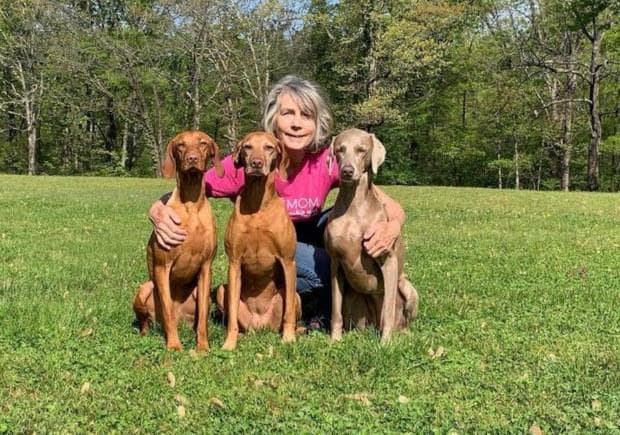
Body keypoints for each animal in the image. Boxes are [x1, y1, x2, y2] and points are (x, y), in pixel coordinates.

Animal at [132, 129, 224, 350]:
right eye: (181, 145)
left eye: (203, 143)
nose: (192, 159)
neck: (191, 203)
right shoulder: (162, 267)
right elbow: (167, 311)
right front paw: (174, 346)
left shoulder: (206, 267)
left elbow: (203, 318)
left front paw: (202, 347)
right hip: (145, 288)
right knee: (147, 321)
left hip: (199, 294)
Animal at [217, 130, 302, 350]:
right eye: (247, 147)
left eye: (268, 147)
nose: (256, 163)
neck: (258, 203)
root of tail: (261, 326)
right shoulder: (234, 263)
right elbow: (231, 316)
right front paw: (229, 343)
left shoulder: (288, 261)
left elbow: (289, 312)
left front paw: (289, 339)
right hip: (222, 291)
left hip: (295, 297)